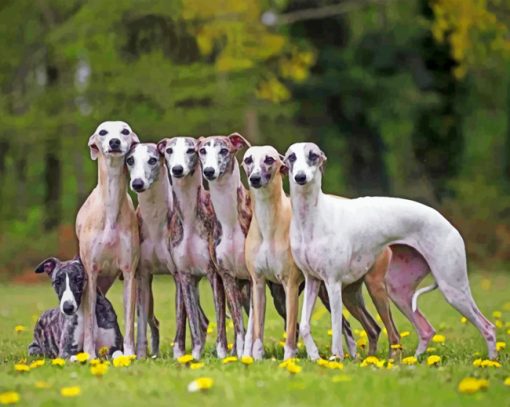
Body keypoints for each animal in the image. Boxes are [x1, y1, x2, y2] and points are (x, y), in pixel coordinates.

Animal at [75, 120, 139, 356]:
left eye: (125, 131)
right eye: (102, 132)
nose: (114, 142)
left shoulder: (129, 273)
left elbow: (129, 322)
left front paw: (129, 354)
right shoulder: (91, 275)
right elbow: (90, 321)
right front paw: (90, 353)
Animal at [158, 137, 228, 360]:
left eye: (191, 150)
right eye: (169, 150)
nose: (177, 169)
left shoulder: (214, 274)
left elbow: (220, 320)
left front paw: (223, 354)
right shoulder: (185, 276)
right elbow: (194, 326)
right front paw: (195, 357)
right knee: (200, 321)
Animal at [284, 141, 496, 360]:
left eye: (313, 155)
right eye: (291, 157)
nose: (300, 177)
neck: (313, 217)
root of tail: (449, 224)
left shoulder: (333, 283)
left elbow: (336, 326)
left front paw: (336, 358)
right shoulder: (312, 280)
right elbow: (305, 325)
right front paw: (314, 356)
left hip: (452, 287)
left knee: (487, 326)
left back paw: (491, 360)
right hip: (399, 291)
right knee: (426, 329)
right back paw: (414, 359)